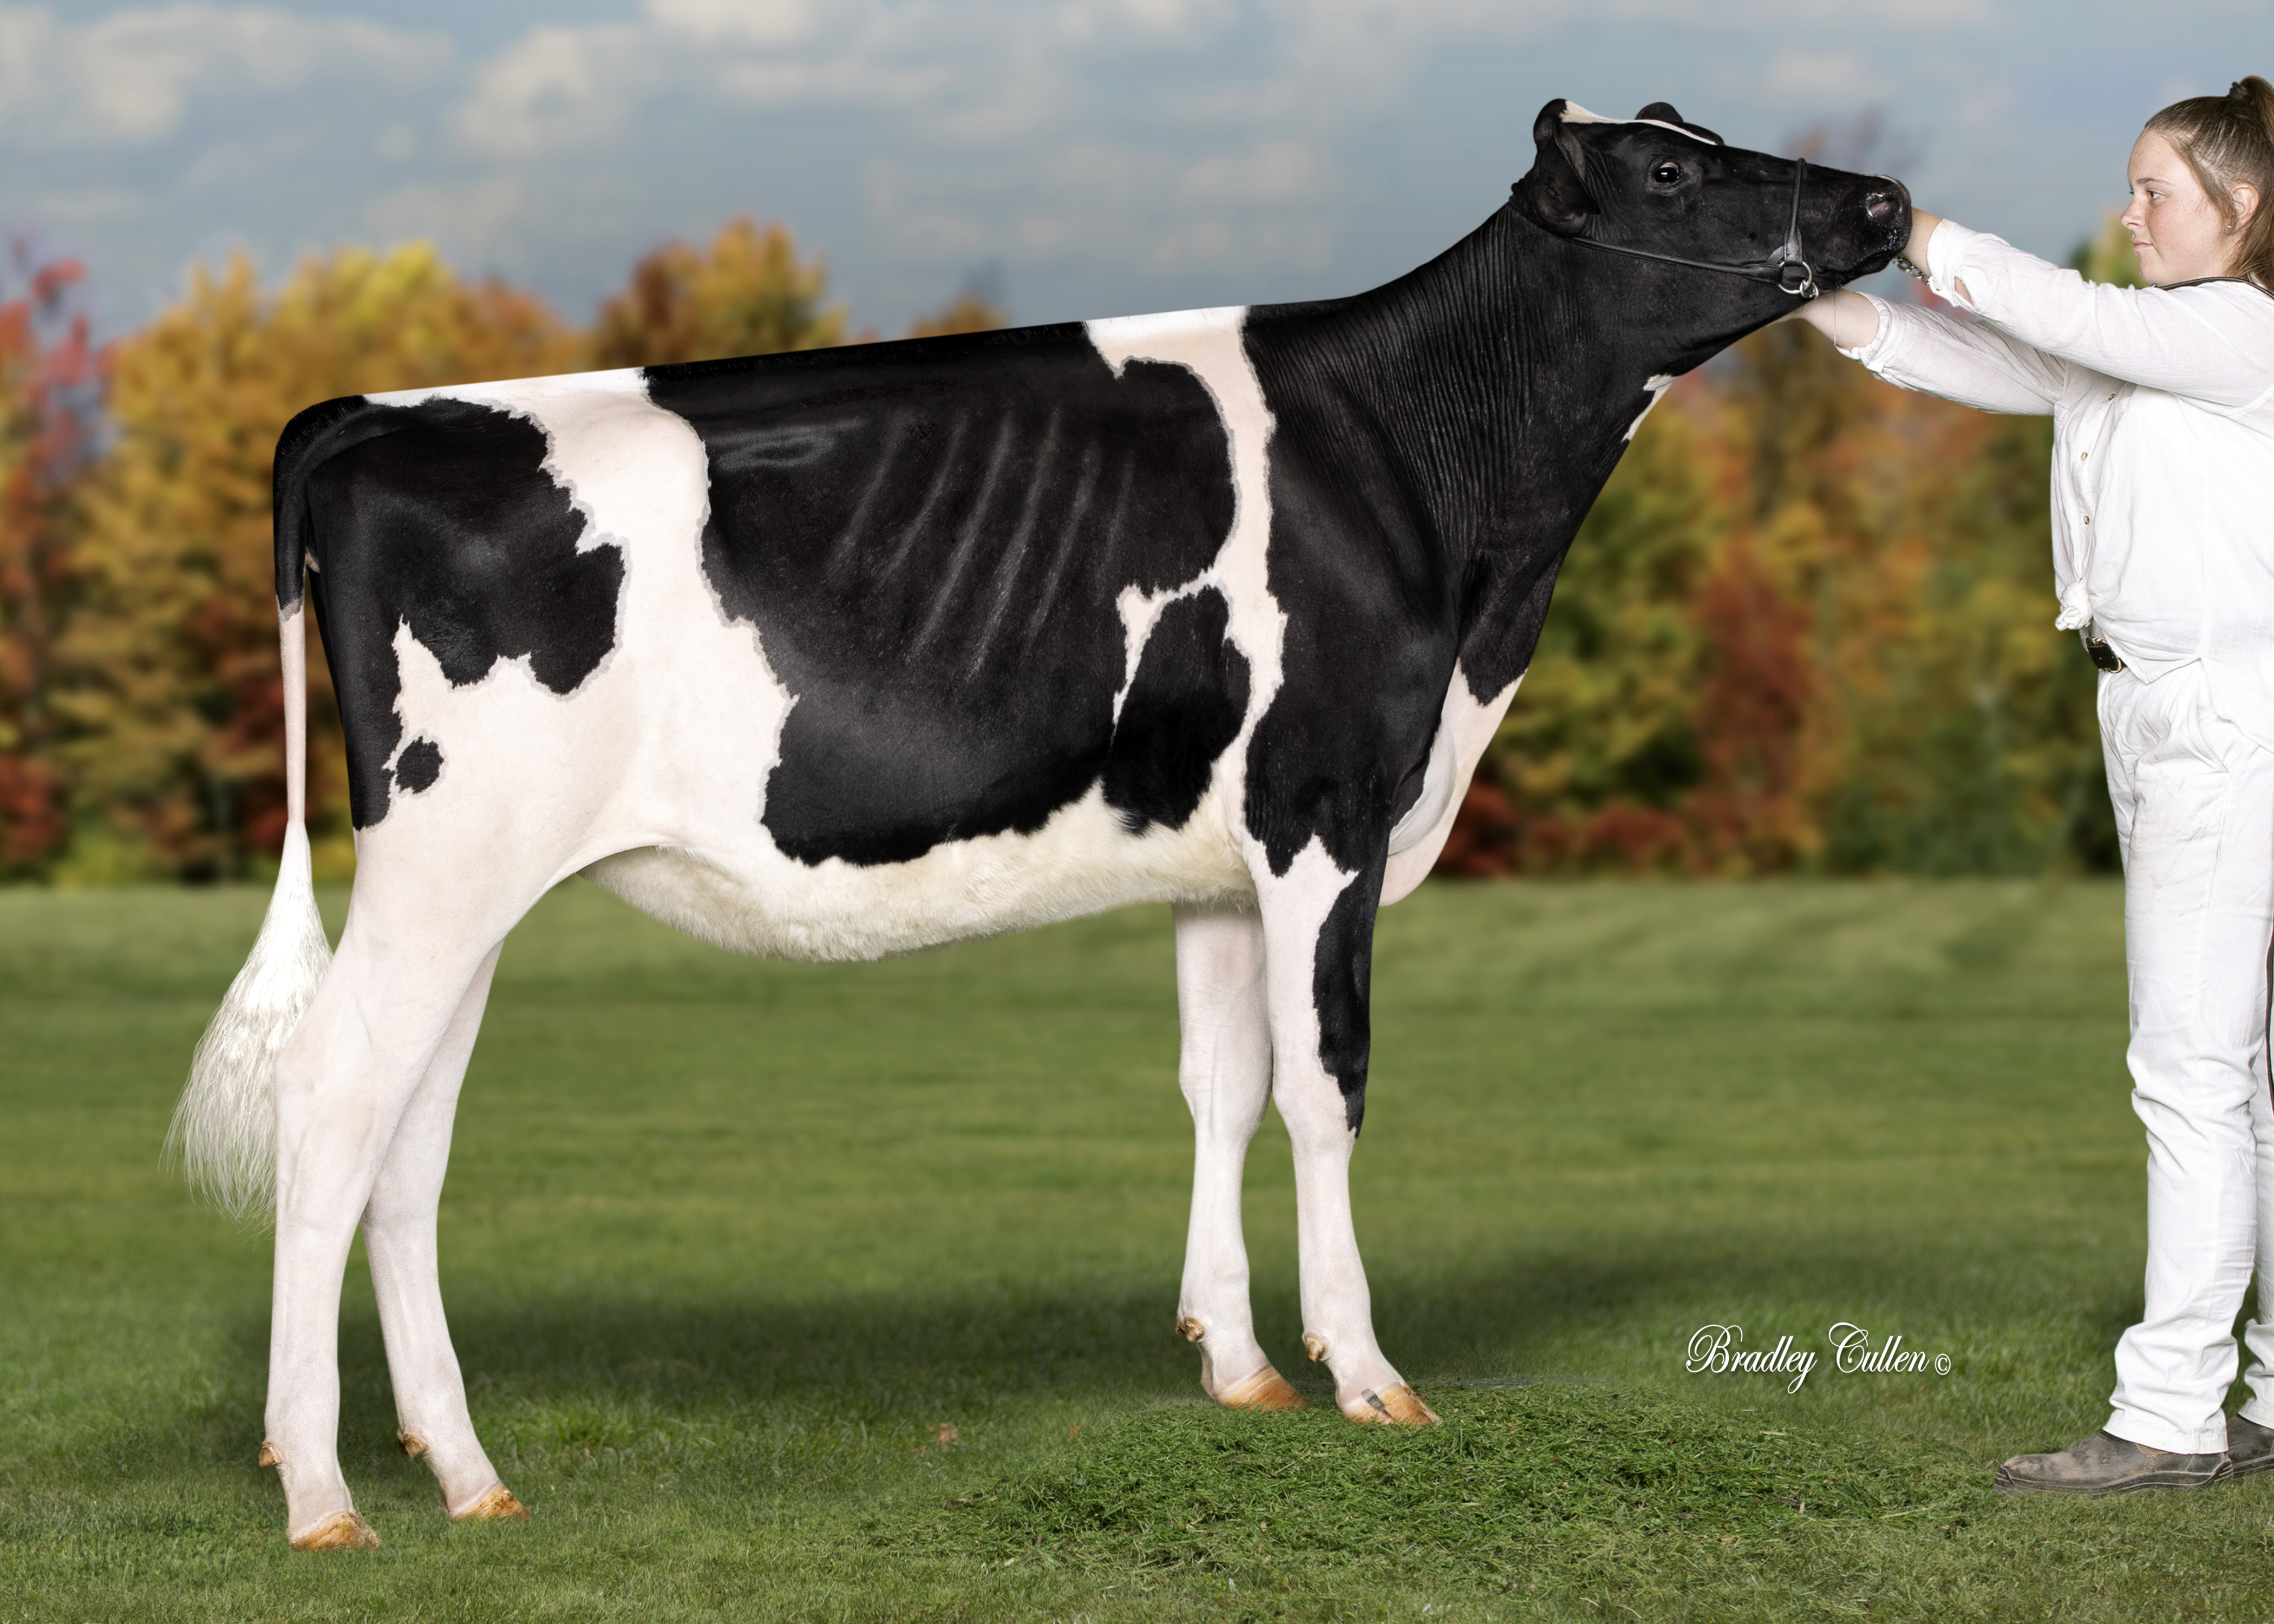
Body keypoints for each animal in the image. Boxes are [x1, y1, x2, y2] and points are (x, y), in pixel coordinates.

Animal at [173, 100, 1909, 1549]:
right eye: (1670, 170)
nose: (1883, 200)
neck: (1435, 496)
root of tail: (367, 415)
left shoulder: (1218, 854)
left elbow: (1223, 1087)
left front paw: (1239, 1364)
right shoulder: (1326, 809)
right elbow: (1328, 1088)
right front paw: (1365, 1374)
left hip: (470, 885)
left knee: (408, 1138)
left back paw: (468, 1474)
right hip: (444, 858)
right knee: (333, 1099)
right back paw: (323, 1492)